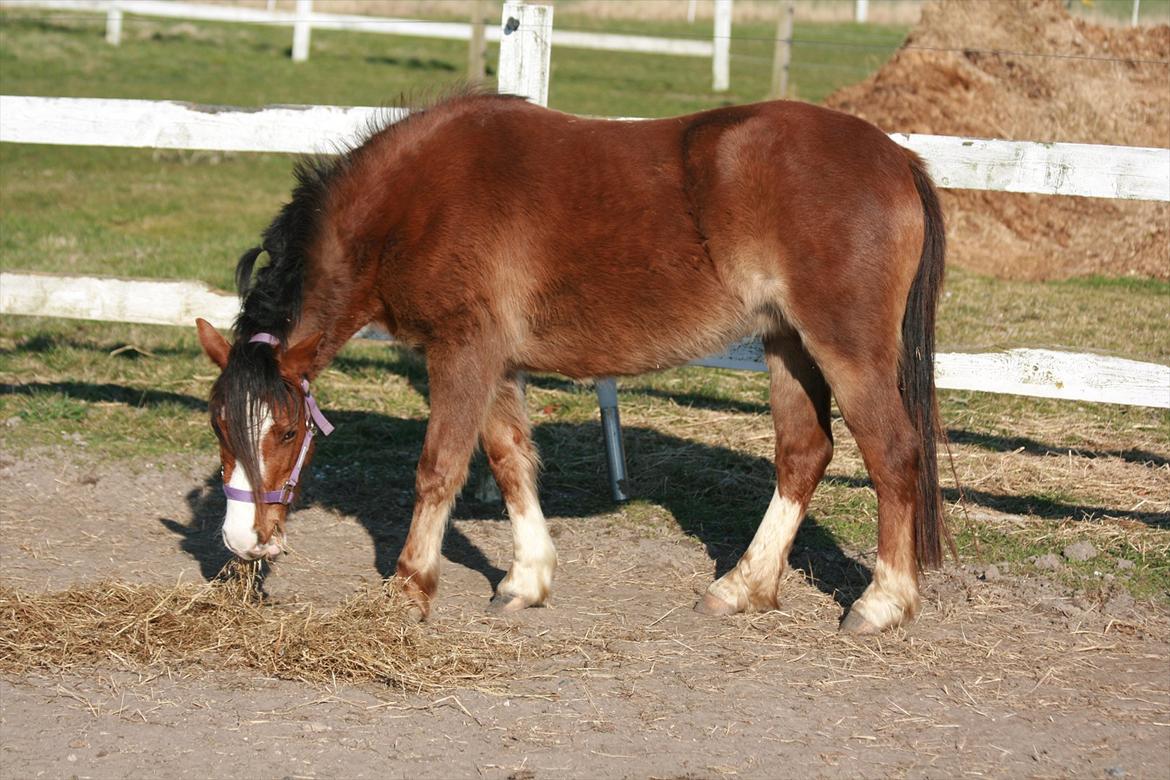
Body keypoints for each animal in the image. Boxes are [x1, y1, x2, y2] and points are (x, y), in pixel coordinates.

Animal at [194, 92, 950, 636]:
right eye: (220, 429)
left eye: (287, 431)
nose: (240, 541)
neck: (412, 200)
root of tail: (896, 157)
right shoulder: (494, 361)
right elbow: (508, 460)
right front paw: (526, 580)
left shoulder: (462, 350)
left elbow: (439, 467)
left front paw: (408, 589)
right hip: (787, 344)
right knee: (803, 453)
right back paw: (741, 588)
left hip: (844, 349)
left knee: (892, 454)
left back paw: (881, 604)